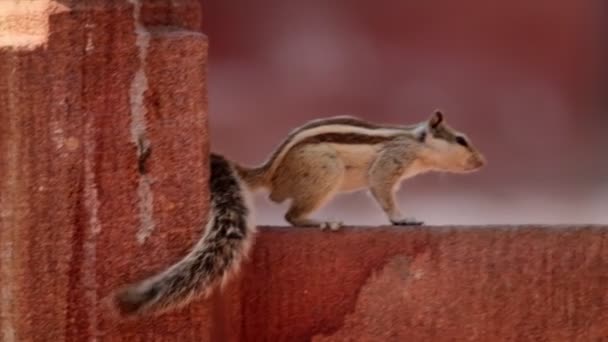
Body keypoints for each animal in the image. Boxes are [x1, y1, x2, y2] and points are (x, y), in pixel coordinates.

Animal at [113, 109, 484, 316]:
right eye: (461, 140)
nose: (483, 162)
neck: (417, 144)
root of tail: (270, 173)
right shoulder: (390, 162)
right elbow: (382, 190)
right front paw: (402, 217)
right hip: (325, 170)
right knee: (290, 215)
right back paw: (321, 221)